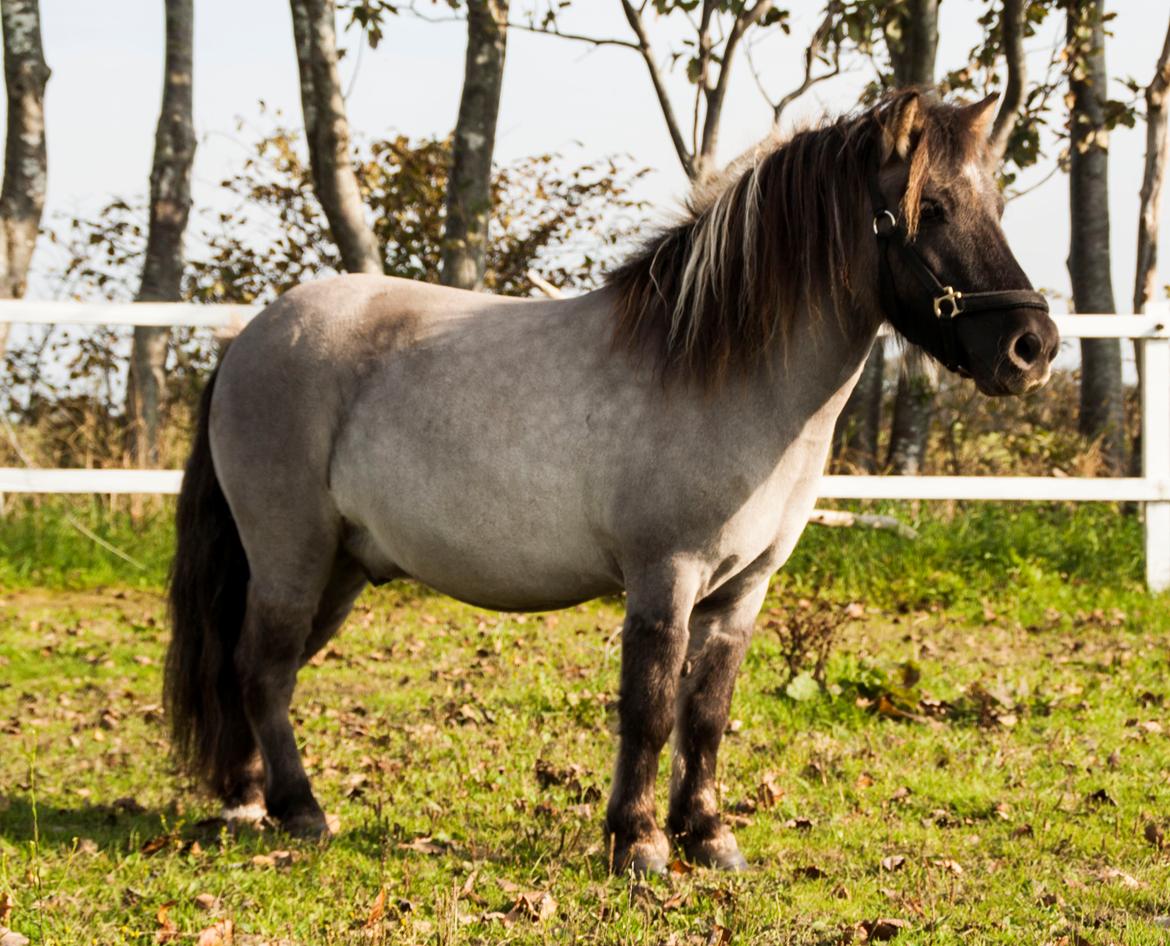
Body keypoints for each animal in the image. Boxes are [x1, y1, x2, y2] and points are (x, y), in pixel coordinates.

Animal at [165, 89, 1058, 875]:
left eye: (994, 205)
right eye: (930, 208)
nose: (1033, 347)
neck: (722, 371)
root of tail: (251, 336)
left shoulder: (741, 594)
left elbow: (708, 716)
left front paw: (710, 837)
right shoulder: (665, 579)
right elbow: (651, 710)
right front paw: (639, 844)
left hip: (341, 568)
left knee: (256, 671)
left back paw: (248, 800)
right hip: (291, 558)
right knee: (264, 670)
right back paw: (299, 810)